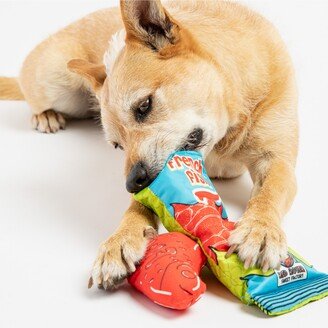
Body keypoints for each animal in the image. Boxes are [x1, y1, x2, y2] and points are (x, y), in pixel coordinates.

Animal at [0, 0, 298, 290]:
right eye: (118, 146)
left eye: (143, 106)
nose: (131, 183)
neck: (224, 136)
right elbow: (137, 207)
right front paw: (121, 239)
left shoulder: (277, 160)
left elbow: (269, 192)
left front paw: (260, 229)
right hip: (54, 81)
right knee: (32, 94)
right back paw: (45, 115)